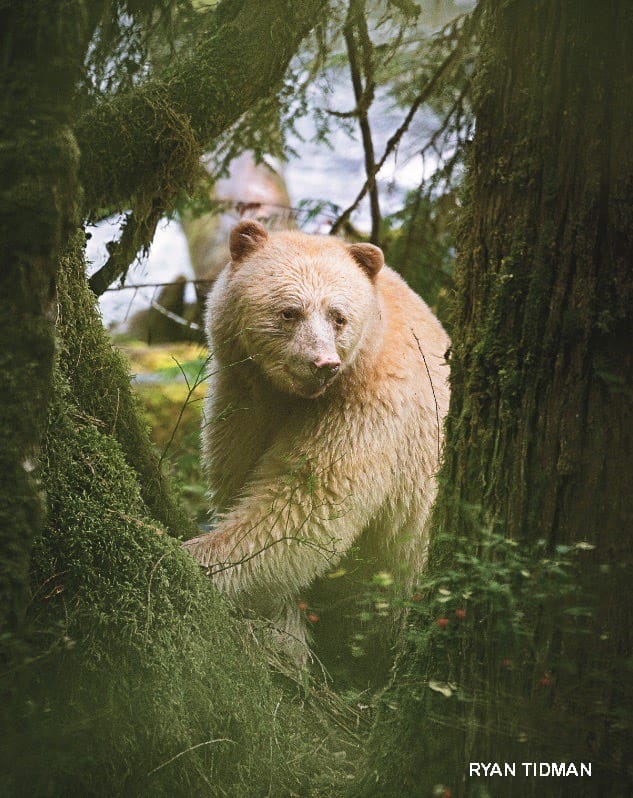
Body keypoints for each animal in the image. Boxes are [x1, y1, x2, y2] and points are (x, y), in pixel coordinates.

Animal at [183, 219, 450, 681]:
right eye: (289, 311)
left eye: (338, 316)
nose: (323, 364)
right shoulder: (243, 399)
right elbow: (239, 478)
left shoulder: (365, 408)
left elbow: (305, 501)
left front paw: (197, 556)